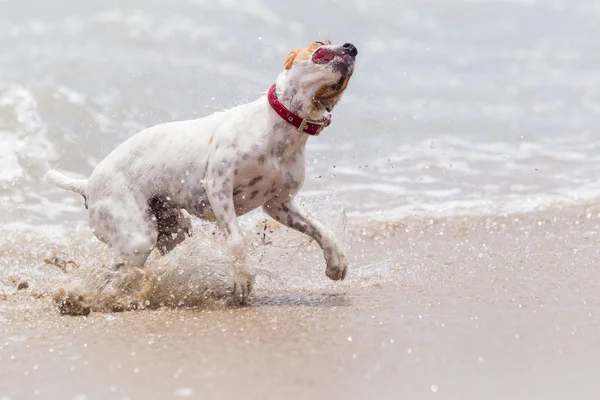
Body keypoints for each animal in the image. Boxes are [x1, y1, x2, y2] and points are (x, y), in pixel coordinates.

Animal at [45, 41, 356, 304]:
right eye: (320, 47)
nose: (351, 47)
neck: (283, 130)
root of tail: (87, 184)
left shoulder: (279, 205)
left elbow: (322, 230)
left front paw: (336, 261)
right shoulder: (219, 187)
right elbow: (237, 240)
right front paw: (241, 279)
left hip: (172, 229)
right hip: (137, 237)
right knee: (110, 282)